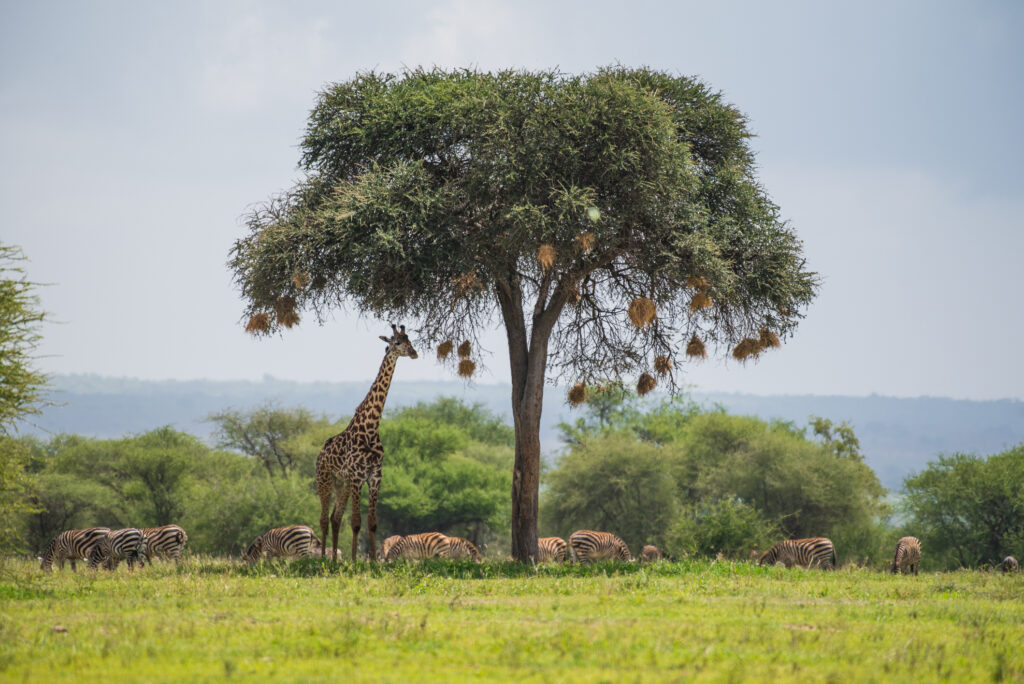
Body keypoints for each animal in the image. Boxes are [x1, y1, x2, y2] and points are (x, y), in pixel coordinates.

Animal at [316, 324, 418, 561]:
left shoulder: (374, 477)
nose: (414, 353)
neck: (371, 428)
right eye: (397, 342)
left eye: (410, 340)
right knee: (324, 519)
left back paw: (334, 561)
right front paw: (355, 562)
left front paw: (372, 561)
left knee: (335, 518)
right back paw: (324, 558)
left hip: (341, 484)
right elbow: (356, 522)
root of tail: (320, 454)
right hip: (324, 481)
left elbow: (372, 523)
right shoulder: (357, 476)